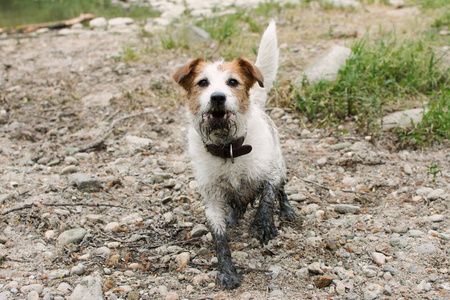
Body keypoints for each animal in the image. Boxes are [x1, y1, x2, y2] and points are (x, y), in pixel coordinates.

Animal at [171, 21, 296, 288]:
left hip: (280, 164)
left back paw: (287, 210)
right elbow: (219, 238)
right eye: (203, 83)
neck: (229, 148)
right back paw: (233, 215)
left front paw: (263, 224)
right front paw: (226, 270)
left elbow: (267, 196)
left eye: (233, 82)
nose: (217, 97)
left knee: (281, 190)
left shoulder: (269, 172)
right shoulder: (211, 198)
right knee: (236, 203)